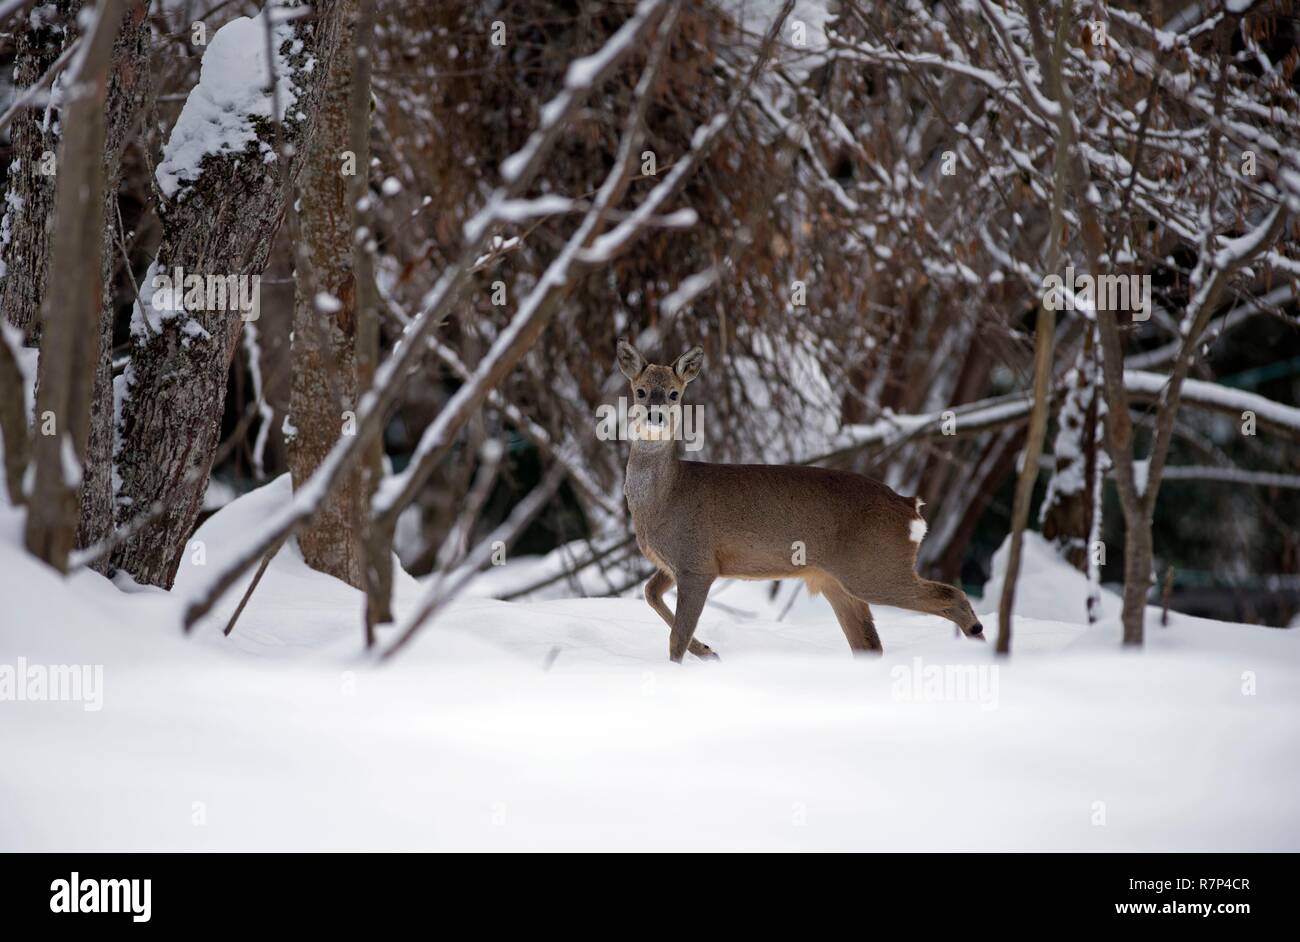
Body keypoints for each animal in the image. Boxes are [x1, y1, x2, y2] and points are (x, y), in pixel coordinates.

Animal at [613, 337, 977, 662]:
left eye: (674, 394)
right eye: (640, 391)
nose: (656, 416)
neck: (666, 497)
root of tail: (909, 506)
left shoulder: (697, 561)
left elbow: (676, 638)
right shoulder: (672, 563)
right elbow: (649, 593)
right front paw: (707, 651)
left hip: (875, 566)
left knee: (952, 595)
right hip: (837, 581)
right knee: (870, 643)